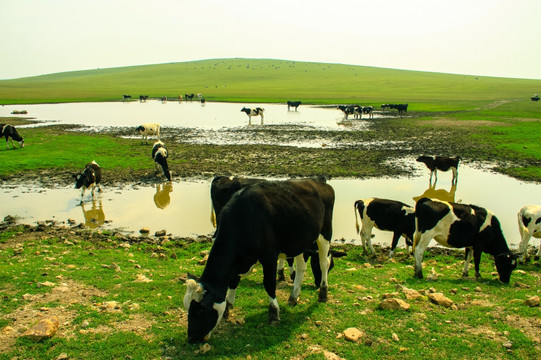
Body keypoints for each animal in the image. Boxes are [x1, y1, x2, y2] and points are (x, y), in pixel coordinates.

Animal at [185, 177, 334, 344]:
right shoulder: (238, 261)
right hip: (300, 241)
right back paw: (294, 297)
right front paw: (228, 306)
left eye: (200, 309)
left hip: (325, 233)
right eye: (187, 307)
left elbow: (269, 284)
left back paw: (323, 293)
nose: (191, 337)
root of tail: (318, 180)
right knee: (301, 267)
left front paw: (274, 314)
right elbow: (233, 282)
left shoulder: (269, 256)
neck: (245, 218)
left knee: (324, 263)